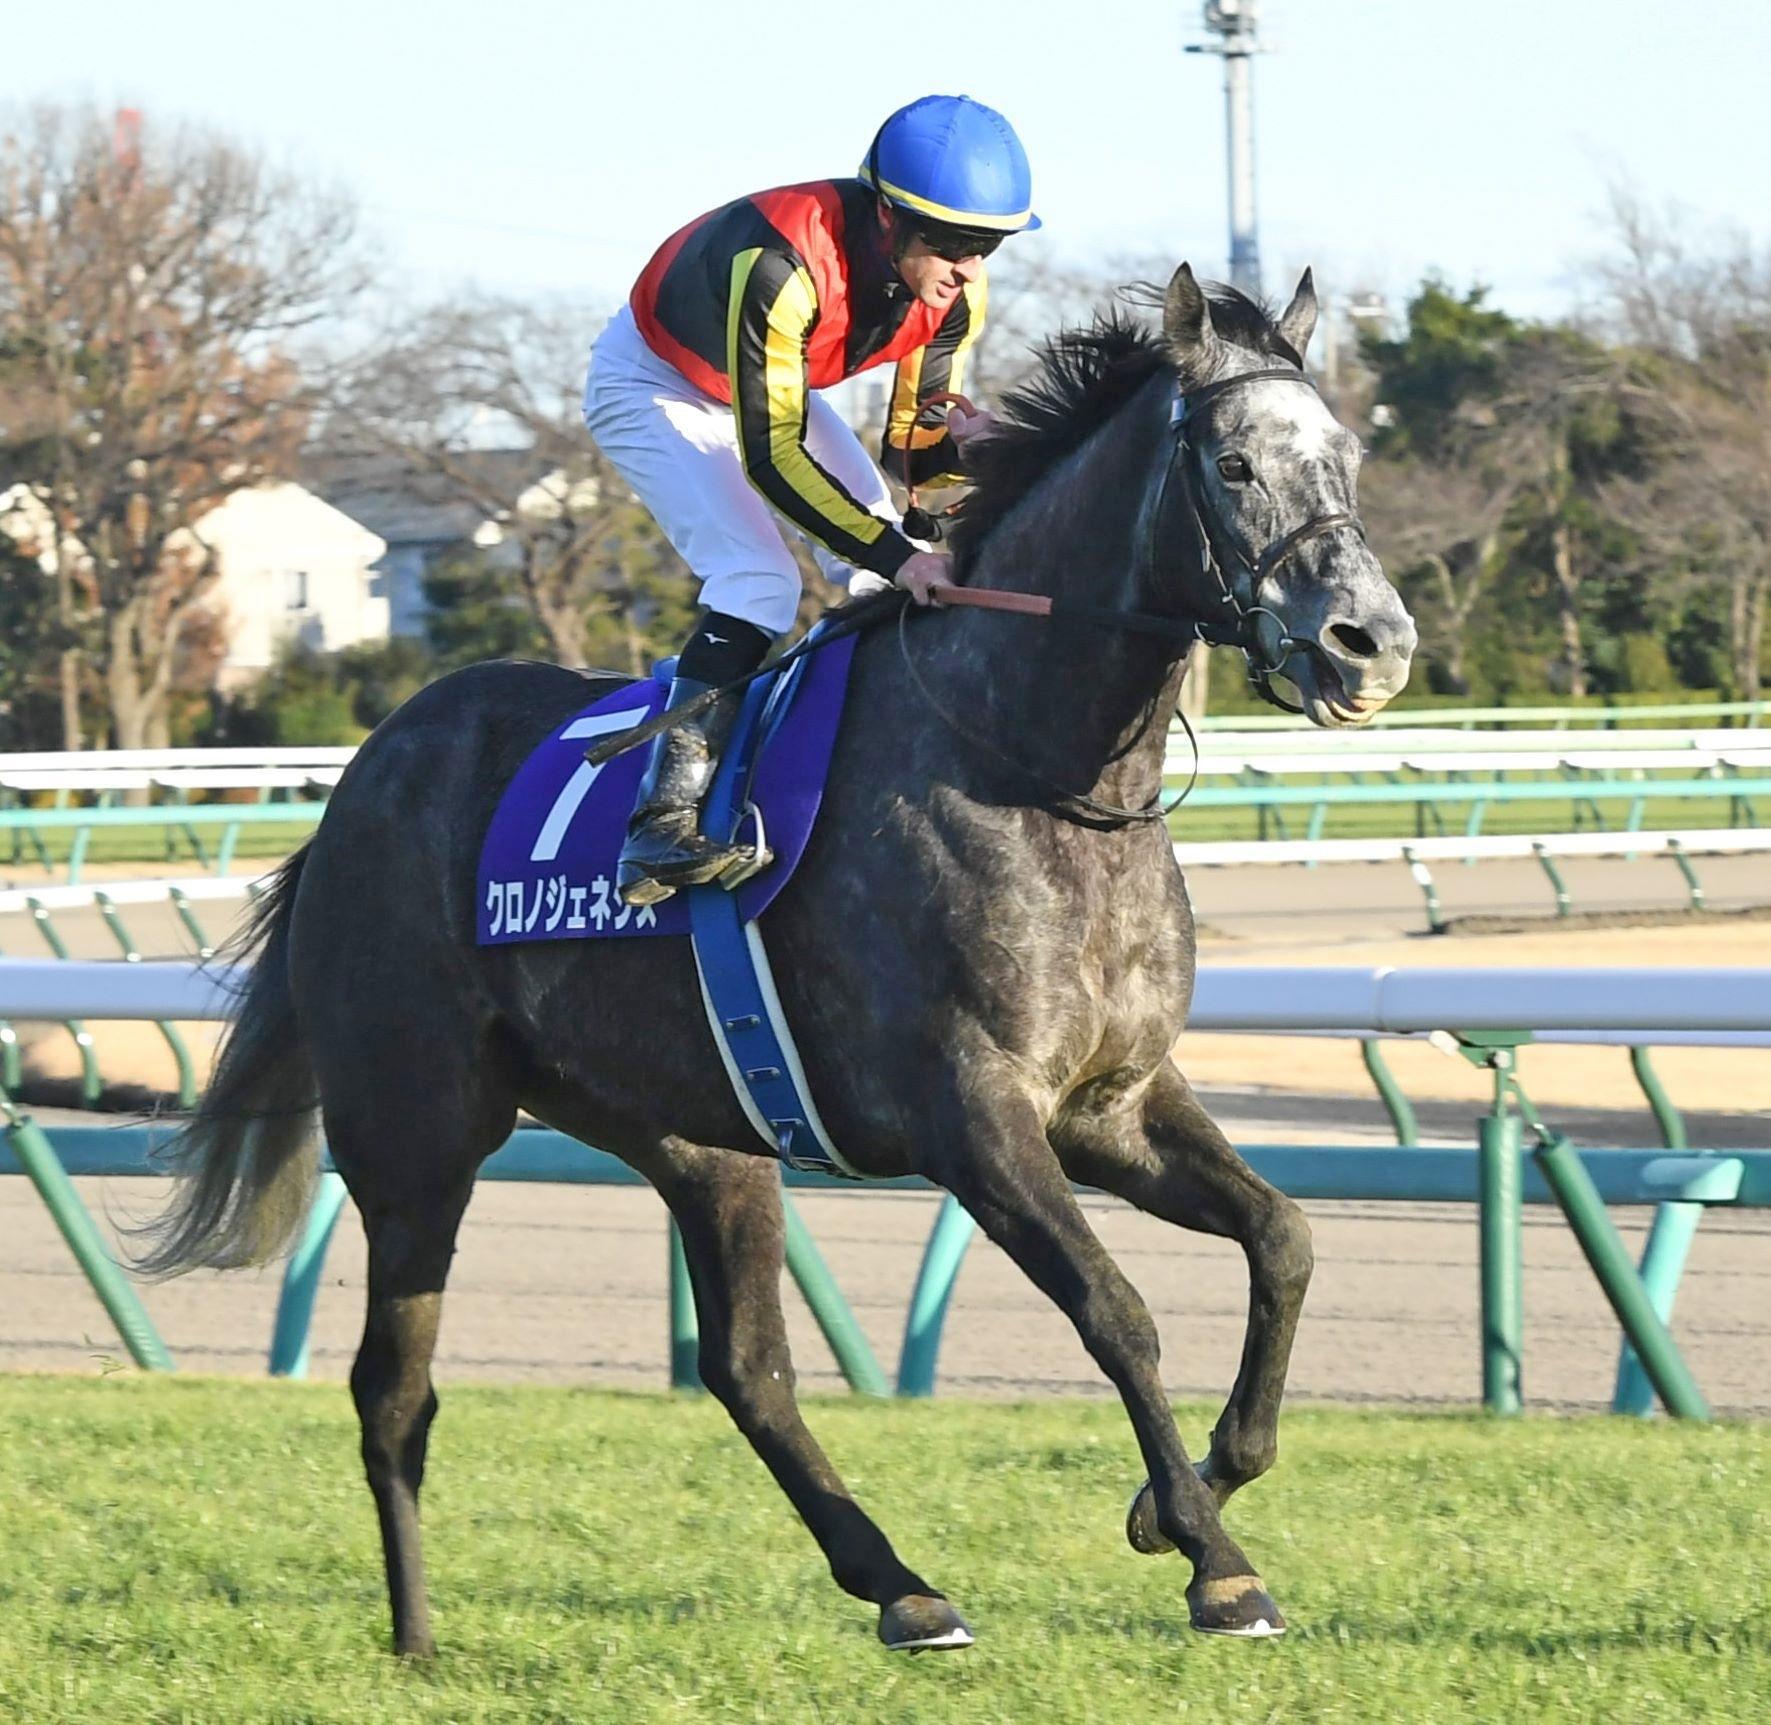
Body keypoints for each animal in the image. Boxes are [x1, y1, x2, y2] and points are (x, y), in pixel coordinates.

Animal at [140, 263, 1416, 1656]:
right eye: (1232, 463)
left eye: (1349, 454)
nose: (1371, 642)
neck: (1032, 764)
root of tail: (357, 786)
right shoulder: (972, 1118)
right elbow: (1115, 1311)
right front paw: (1212, 1559)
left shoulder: (1112, 1104)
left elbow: (1283, 1239)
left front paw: (1187, 1493)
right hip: (413, 1132)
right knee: (394, 1387)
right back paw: (419, 1636)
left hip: (700, 1140)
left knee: (744, 1369)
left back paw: (901, 1587)